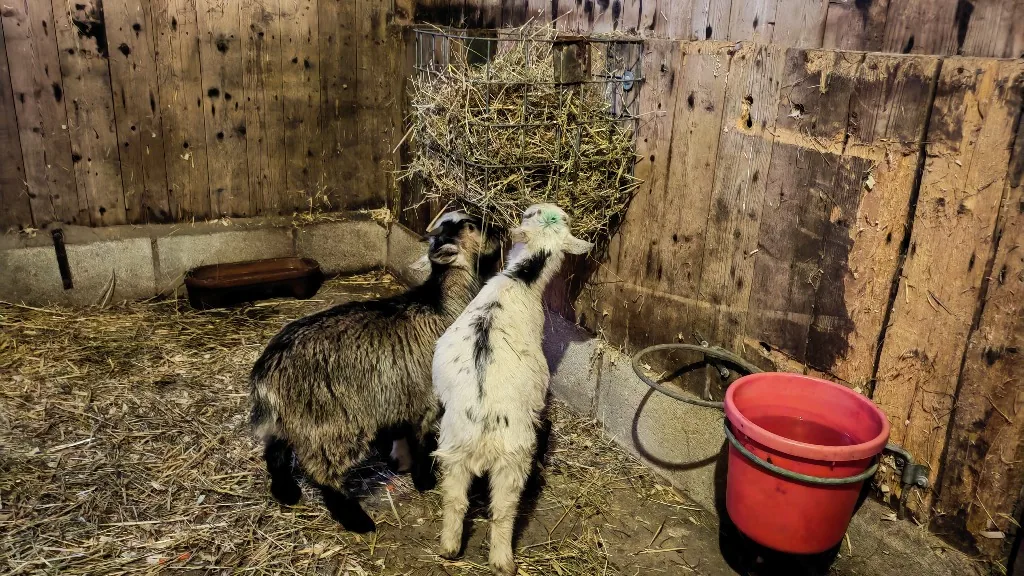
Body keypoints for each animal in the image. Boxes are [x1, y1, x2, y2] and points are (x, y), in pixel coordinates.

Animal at [250, 212, 500, 533]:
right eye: (472, 226)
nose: (500, 229)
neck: (442, 306)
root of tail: (268, 369)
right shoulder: (427, 398)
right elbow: (421, 440)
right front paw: (424, 480)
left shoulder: (399, 390)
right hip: (328, 421)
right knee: (322, 469)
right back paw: (355, 519)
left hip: (290, 416)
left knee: (275, 450)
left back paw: (286, 492)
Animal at [432, 204, 593, 575]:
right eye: (535, 214)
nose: (529, 208)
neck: (520, 280)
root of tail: (482, 426)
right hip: (513, 458)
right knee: (504, 510)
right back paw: (503, 560)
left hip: (453, 451)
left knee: (455, 500)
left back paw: (449, 547)